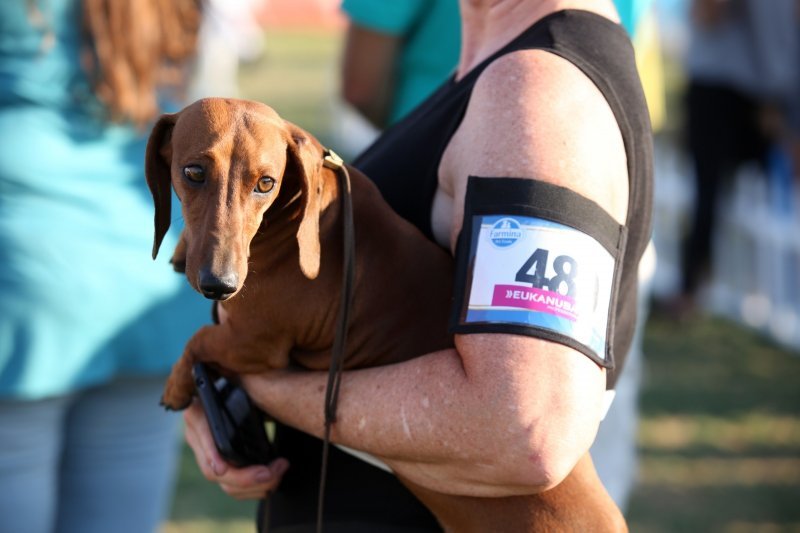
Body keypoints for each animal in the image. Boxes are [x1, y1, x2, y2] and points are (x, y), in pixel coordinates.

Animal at [147, 97, 628, 528]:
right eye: (193, 172)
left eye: (266, 183)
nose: (220, 283)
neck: (293, 214)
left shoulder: (257, 347)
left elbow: (198, 340)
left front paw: (177, 383)